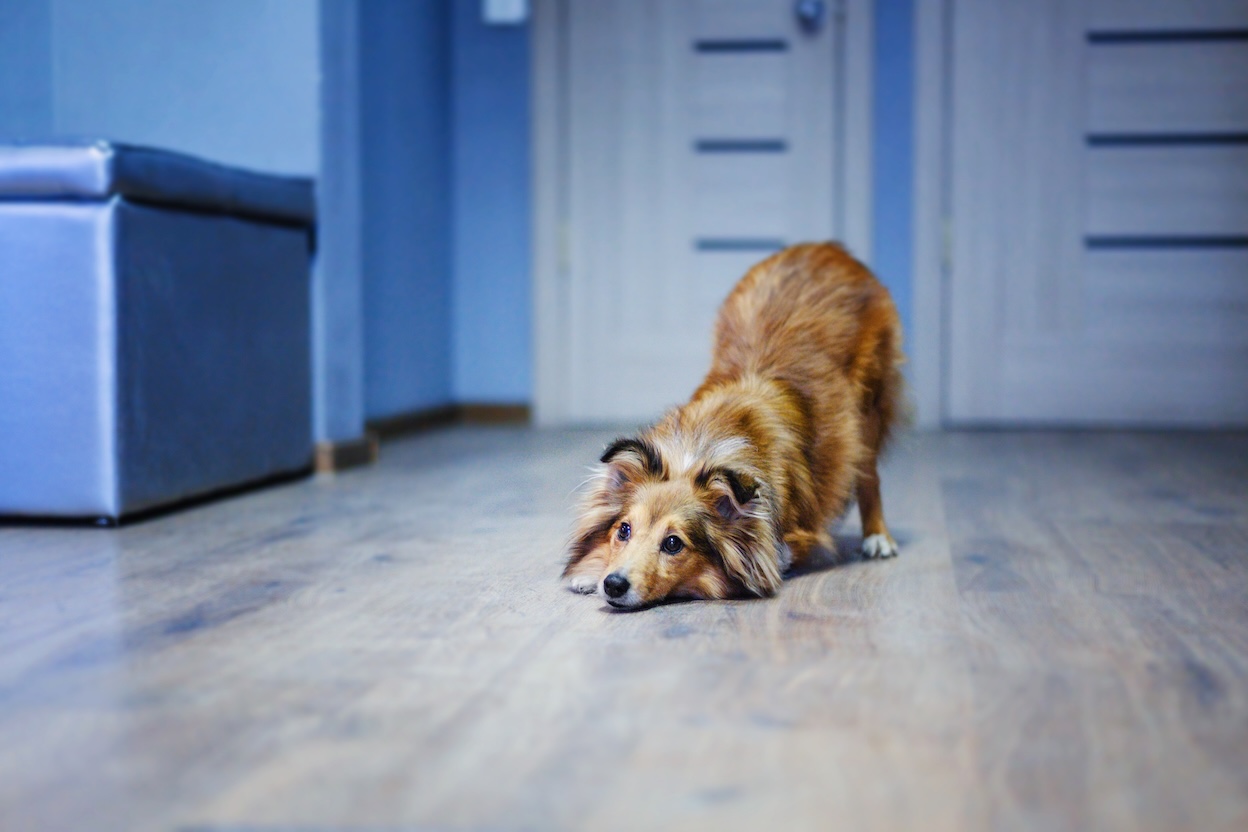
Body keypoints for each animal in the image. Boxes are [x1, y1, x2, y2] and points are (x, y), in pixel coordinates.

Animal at [561, 241, 903, 611]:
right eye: (623, 530)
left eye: (673, 543)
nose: (613, 585)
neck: (698, 452)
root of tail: (826, 247)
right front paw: (588, 575)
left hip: (867, 409)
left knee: (869, 476)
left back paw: (878, 538)